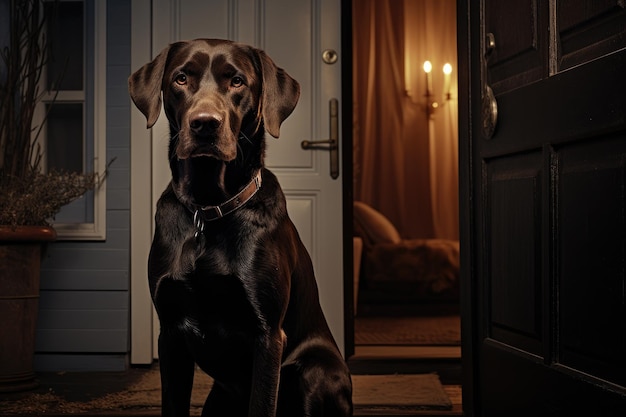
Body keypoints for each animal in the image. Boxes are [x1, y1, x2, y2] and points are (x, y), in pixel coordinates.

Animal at [128, 39, 352, 416]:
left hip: (316, 372)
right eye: (181, 78)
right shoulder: (170, 334)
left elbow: (262, 403)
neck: (207, 209)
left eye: (237, 81)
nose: (205, 124)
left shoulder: (267, 335)